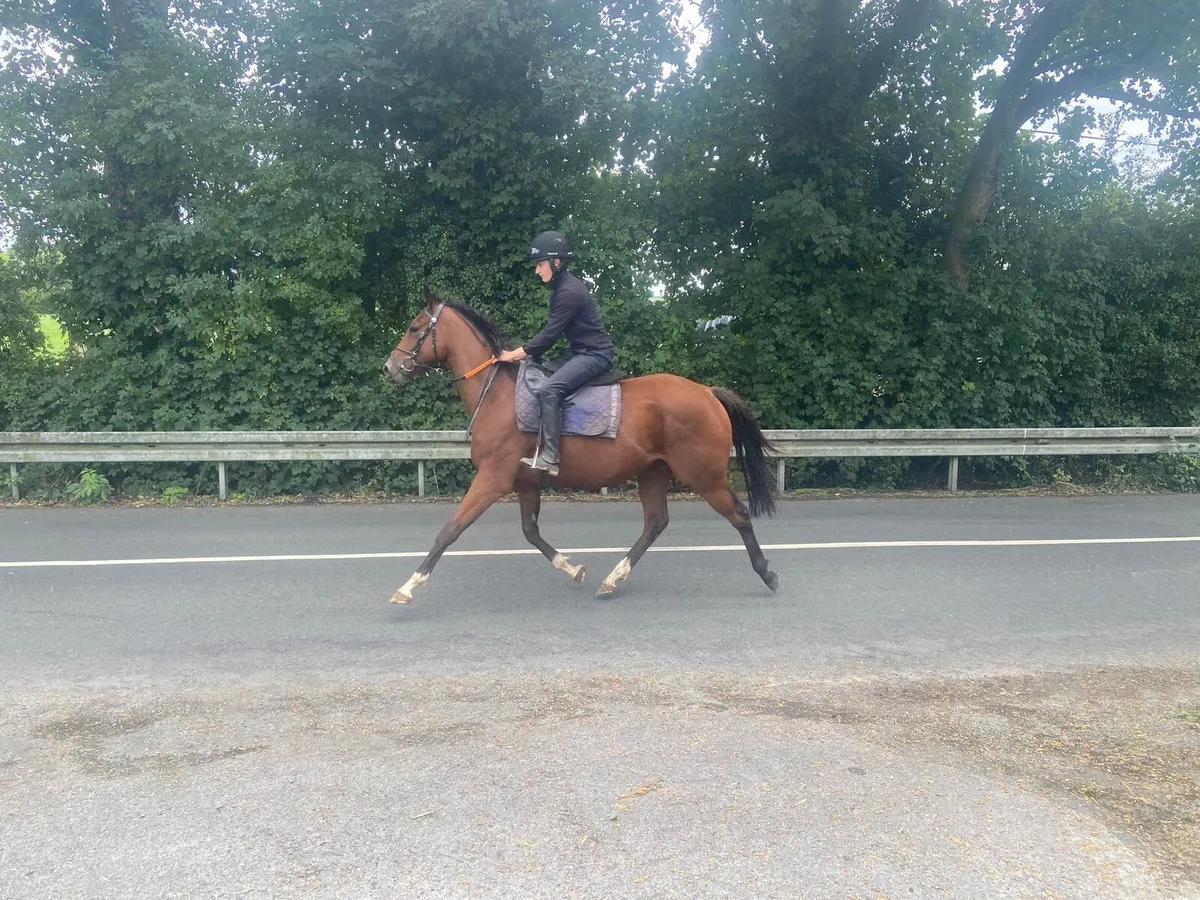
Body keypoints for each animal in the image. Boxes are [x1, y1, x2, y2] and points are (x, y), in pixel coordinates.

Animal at [381, 294, 779, 604]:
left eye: (414, 328)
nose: (390, 368)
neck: (498, 395)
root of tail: (707, 392)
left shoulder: (493, 478)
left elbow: (451, 529)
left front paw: (409, 586)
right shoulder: (525, 482)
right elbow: (530, 532)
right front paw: (573, 569)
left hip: (704, 476)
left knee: (739, 515)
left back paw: (767, 573)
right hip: (653, 471)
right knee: (656, 522)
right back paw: (613, 579)